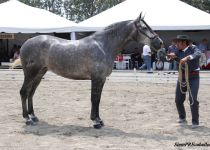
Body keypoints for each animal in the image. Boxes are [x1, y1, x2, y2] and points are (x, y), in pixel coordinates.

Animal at [18, 13, 162, 129]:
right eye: (144, 28)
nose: (159, 43)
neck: (103, 46)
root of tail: (26, 43)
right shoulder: (96, 78)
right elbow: (94, 98)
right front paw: (96, 122)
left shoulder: (102, 79)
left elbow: (98, 99)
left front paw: (99, 120)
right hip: (30, 73)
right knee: (24, 92)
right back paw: (27, 119)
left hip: (39, 73)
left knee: (31, 93)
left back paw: (33, 116)